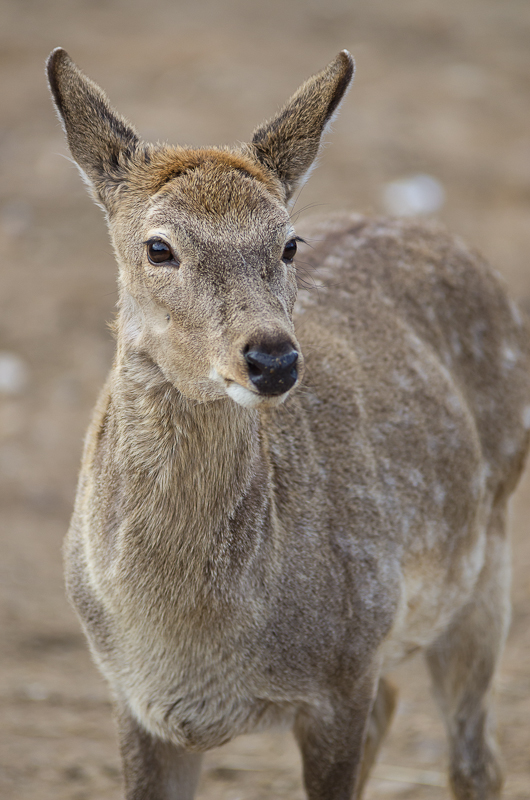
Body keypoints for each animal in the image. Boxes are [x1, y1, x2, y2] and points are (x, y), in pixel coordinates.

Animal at [47, 50, 528, 800]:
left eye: (289, 242)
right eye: (158, 247)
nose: (273, 356)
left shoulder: (344, 669)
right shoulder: (131, 698)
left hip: (485, 562)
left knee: (475, 758)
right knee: (400, 706)